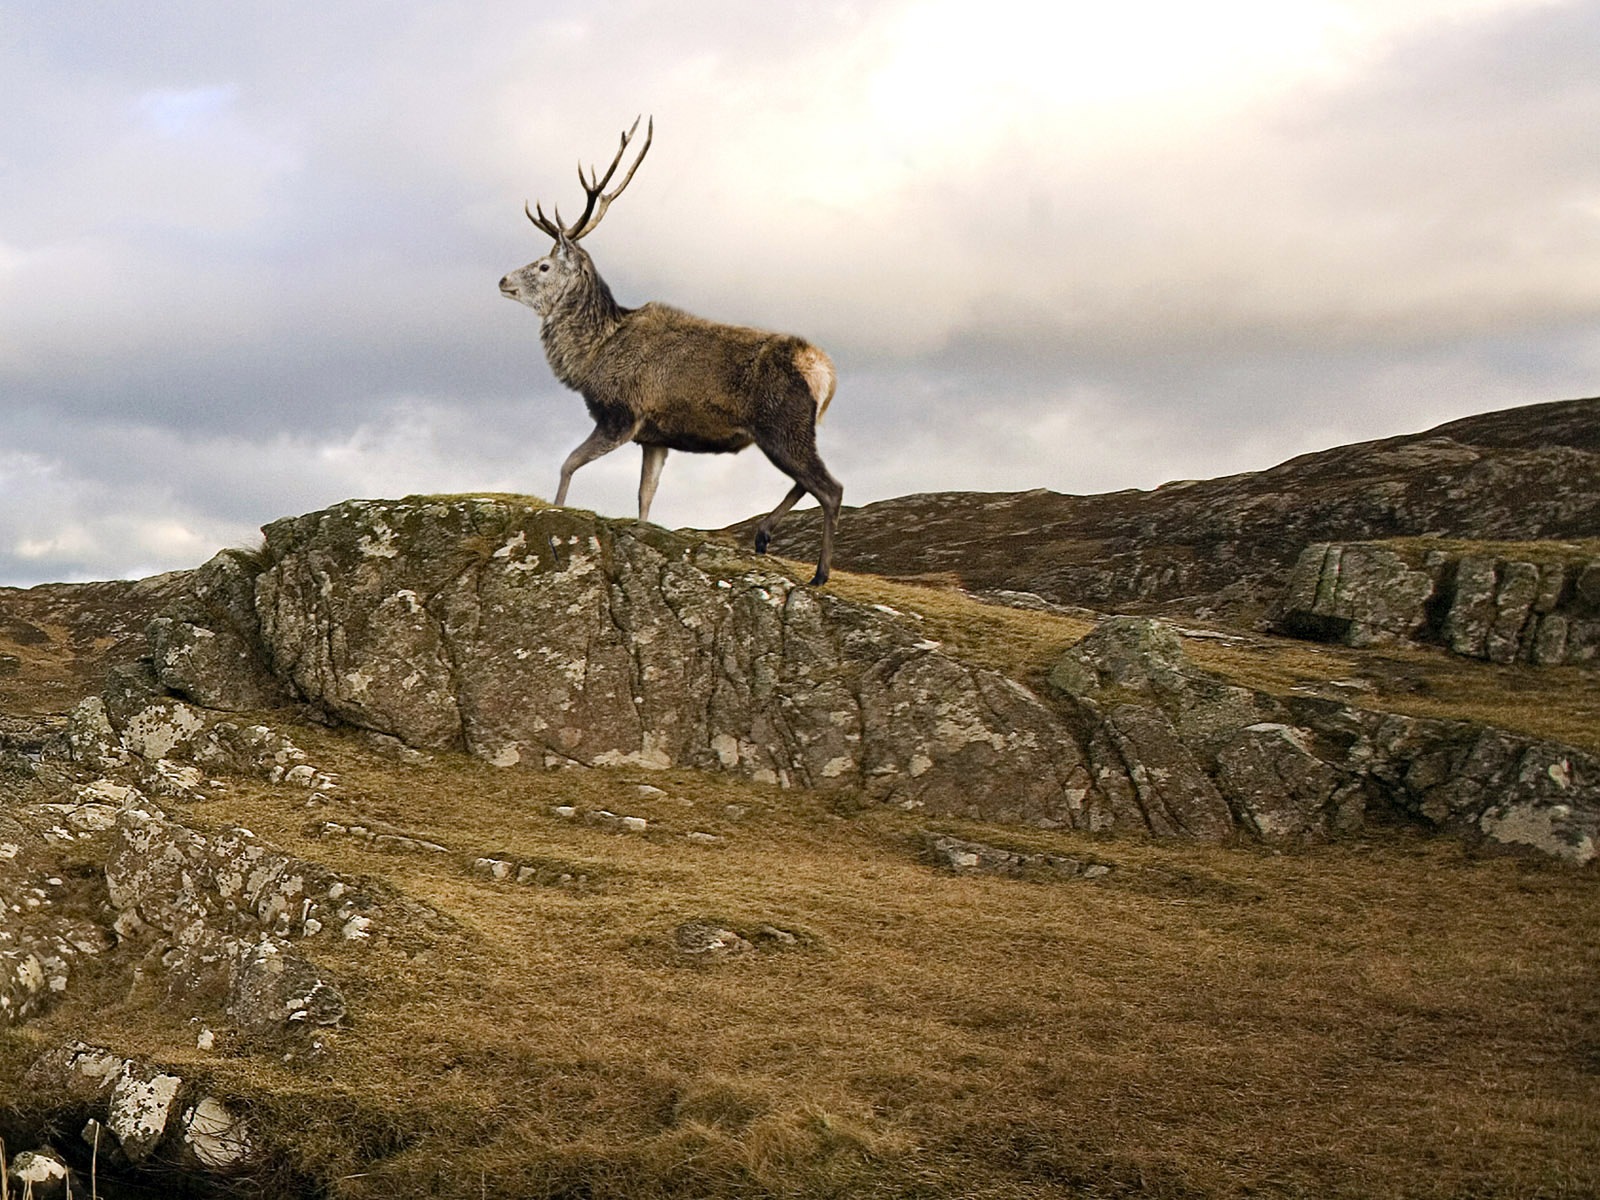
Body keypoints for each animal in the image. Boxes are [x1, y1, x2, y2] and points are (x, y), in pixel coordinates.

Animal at [499, 120, 851, 588]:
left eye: (544, 265)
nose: (503, 280)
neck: (592, 355)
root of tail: (825, 372)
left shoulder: (622, 414)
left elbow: (568, 464)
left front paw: (555, 514)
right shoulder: (655, 437)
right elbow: (645, 496)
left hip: (782, 422)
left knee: (831, 488)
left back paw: (819, 572)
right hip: (789, 430)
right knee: (810, 481)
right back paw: (762, 535)